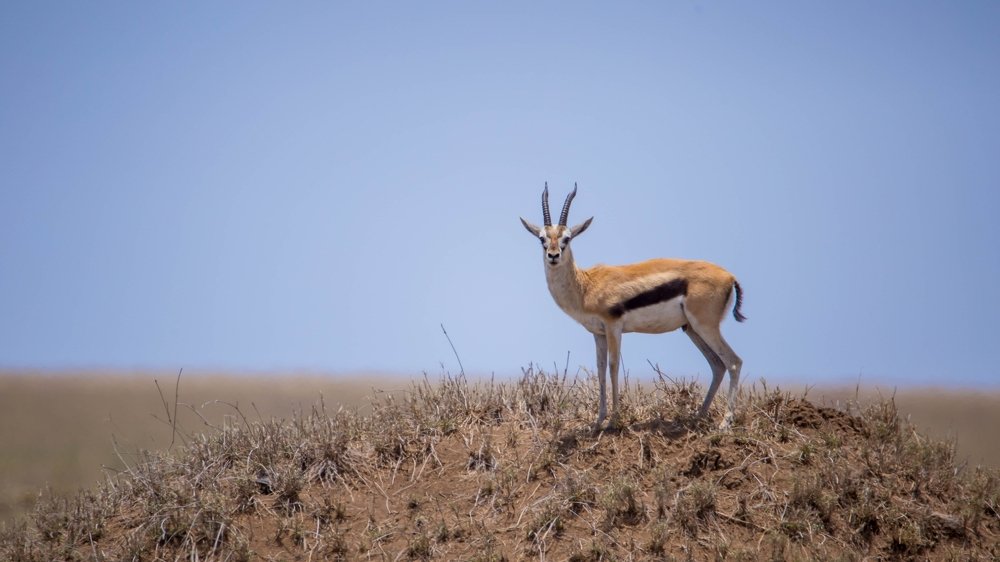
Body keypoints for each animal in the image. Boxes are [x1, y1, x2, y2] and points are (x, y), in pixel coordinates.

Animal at [520, 183, 746, 429]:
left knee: (734, 362)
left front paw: (613, 421)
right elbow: (600, 369)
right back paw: (698, 416)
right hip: (691, 329)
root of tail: (729, 276)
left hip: (705, 326)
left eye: (567, 238)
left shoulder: (614, 326)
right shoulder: (598, 333)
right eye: (542, 238)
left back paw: (725, 422)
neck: (586, 286)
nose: (553, 256)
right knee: (717, 365)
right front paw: (598, 421)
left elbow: (613, 367)